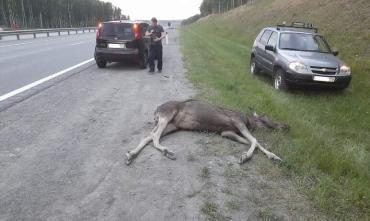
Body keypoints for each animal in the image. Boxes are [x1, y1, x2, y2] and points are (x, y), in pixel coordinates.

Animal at [127, 99, 290, 165]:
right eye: (267, 118)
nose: (286, 126)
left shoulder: (227, 132)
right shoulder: (237, 121)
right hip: (167, 116)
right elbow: (255, 140)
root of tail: (156, 110)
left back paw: (131, 154)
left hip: (171, 125)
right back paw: (167, 151)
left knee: (148, 136)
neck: (248, 121)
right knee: (154, 136)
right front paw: (245, 157)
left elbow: (252, 142)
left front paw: (274, 156)